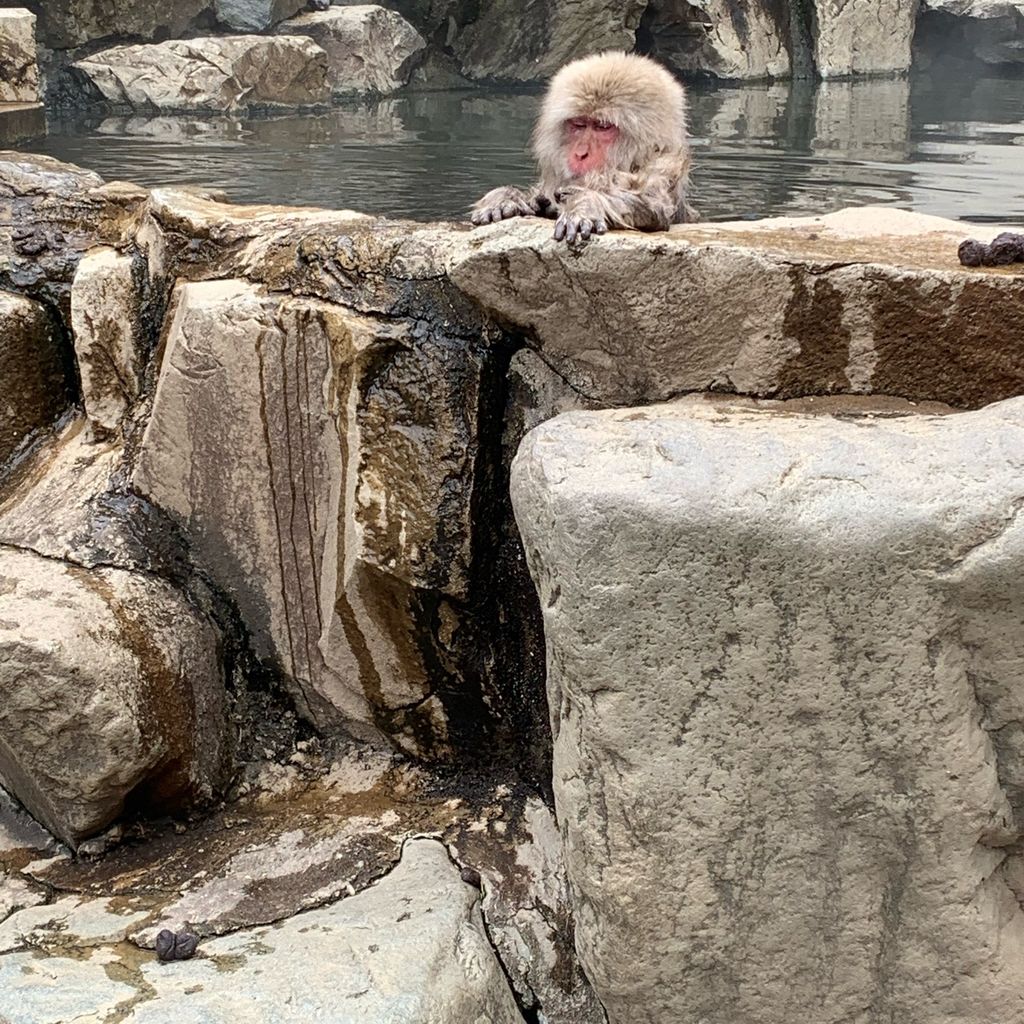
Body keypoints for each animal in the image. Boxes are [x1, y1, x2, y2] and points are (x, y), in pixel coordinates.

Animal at [471, 51, 696, 243]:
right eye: (579, 124)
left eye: (602, 127)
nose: (581, 154)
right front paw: (504, 198)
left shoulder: (663, 168)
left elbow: (652, 204)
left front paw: (585, 204)